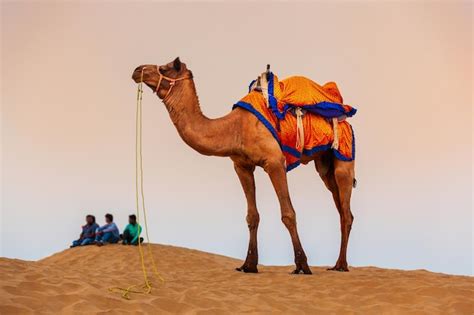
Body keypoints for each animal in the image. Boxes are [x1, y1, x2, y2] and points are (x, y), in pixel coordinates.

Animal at [131, 58, 354, 276]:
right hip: (324, 165)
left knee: (346, 212)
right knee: (340, 205)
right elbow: (252, 216)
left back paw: (341, 265)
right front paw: (249, 265)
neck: (234, 128)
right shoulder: (241, 165)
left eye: (165, 68)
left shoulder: (274, 162)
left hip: (344, 156)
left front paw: (302, 265)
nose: (137, 70)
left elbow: (288, 214)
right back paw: (337, 263)